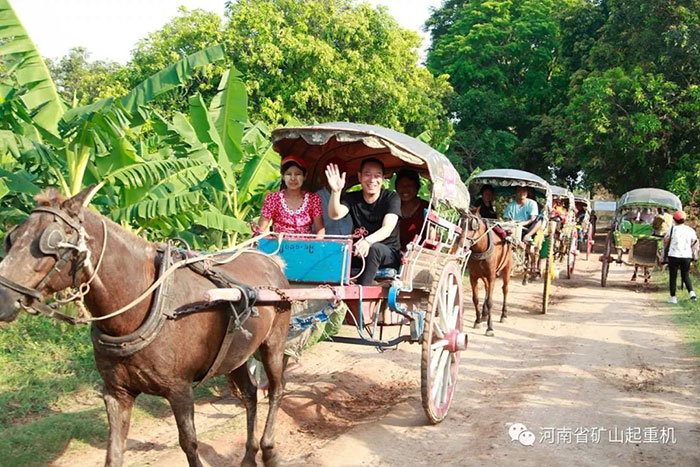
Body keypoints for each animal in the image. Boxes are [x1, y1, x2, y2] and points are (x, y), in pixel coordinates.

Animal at [0, 187, 290, 467]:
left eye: (52, 242)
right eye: (12, 238)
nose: (3, 298)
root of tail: (272, 262)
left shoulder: (180, 391)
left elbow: (189, 444)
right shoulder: (116, 393)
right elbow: (114, 453)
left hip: (274, 343)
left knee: (276, 389)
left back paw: (269, 450)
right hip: (236, 354)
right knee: (250, 394)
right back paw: (249, 455)